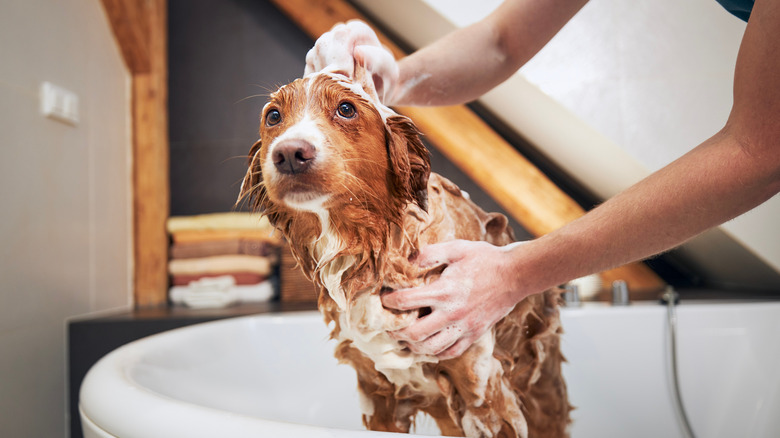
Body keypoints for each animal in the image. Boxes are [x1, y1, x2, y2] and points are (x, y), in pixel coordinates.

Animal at [235, 66, 568, 436]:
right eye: (273, 116)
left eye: (346, 109)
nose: (290, 153)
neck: (372, 250)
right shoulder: (378, 395)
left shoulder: (482, 390)